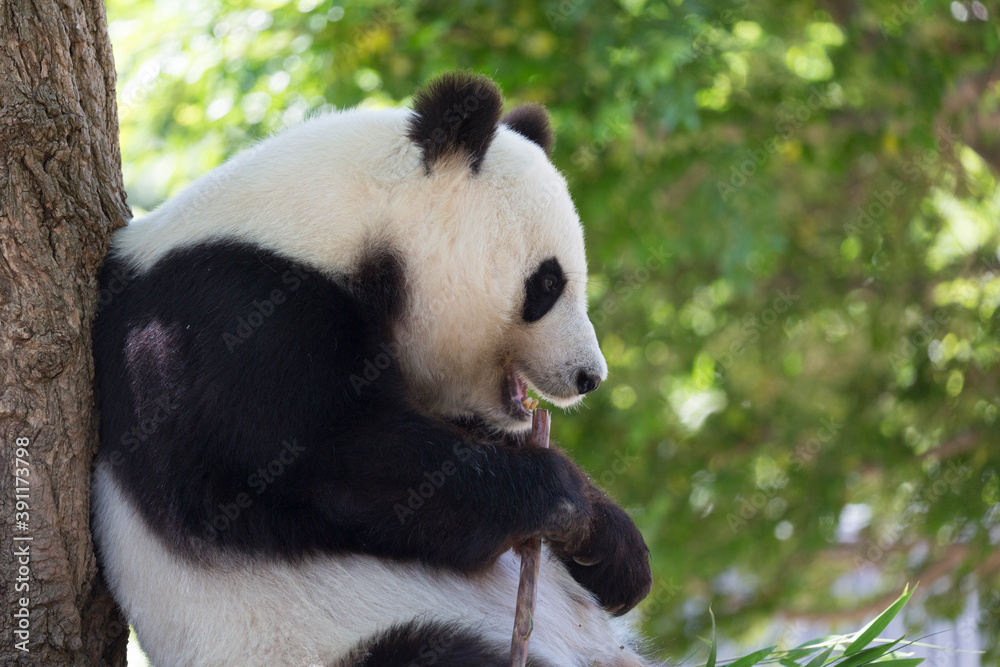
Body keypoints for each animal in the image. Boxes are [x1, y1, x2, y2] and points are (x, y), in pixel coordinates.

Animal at [92, 73, 656, 667]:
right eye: (547, 283)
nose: (589, 376)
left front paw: (614, 550)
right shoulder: (226, 320)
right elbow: (338, 465)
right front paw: (556, 491)